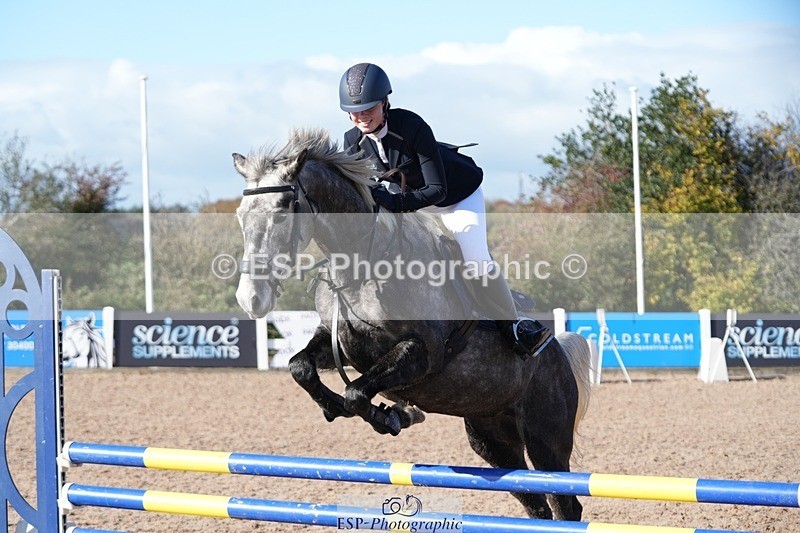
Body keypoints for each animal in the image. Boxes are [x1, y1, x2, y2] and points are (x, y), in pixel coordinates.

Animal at [233, 128, 592, 521]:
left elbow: (356, 392)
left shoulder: (423, 354)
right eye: (240, 216)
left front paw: (393, 416)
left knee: (565, 501)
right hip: (491, 439)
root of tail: (557, 350)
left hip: (545, 439)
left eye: (281, 216)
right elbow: (301, 367)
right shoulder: (337, 343)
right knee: (535, 502)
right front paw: (350, 409)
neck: (360, 268)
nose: (251, 299)